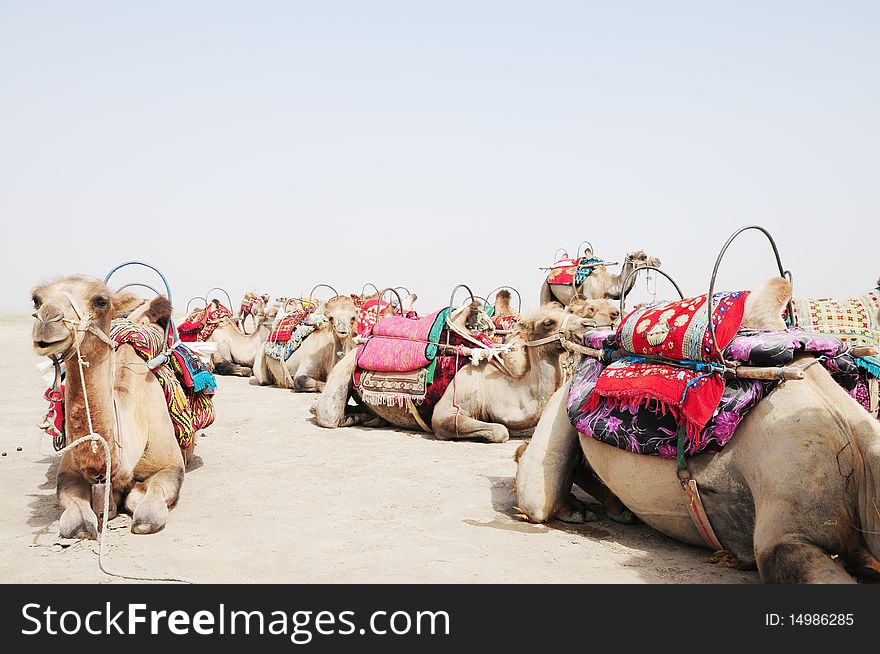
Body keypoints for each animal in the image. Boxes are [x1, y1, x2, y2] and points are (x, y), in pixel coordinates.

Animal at [31, 276, 186, 540]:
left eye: (101, 301)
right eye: (36, 300)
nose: (47, 320)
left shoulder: (171, 466)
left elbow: (145, 515)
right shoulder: (69, 473)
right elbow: (76, 524)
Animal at [314, 300, 620, 444]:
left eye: (575, 312)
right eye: (548, 322)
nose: (587, 326)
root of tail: (362, 339)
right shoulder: (448, 410)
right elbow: (500, 431)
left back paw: (367, 418)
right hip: (342, 371)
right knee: (329, 416)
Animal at [516, 280, 880, 588]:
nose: (581, 323)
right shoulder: (787, 524)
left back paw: (615, 508)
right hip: (563, 400)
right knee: (536, 491)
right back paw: (575, 509)